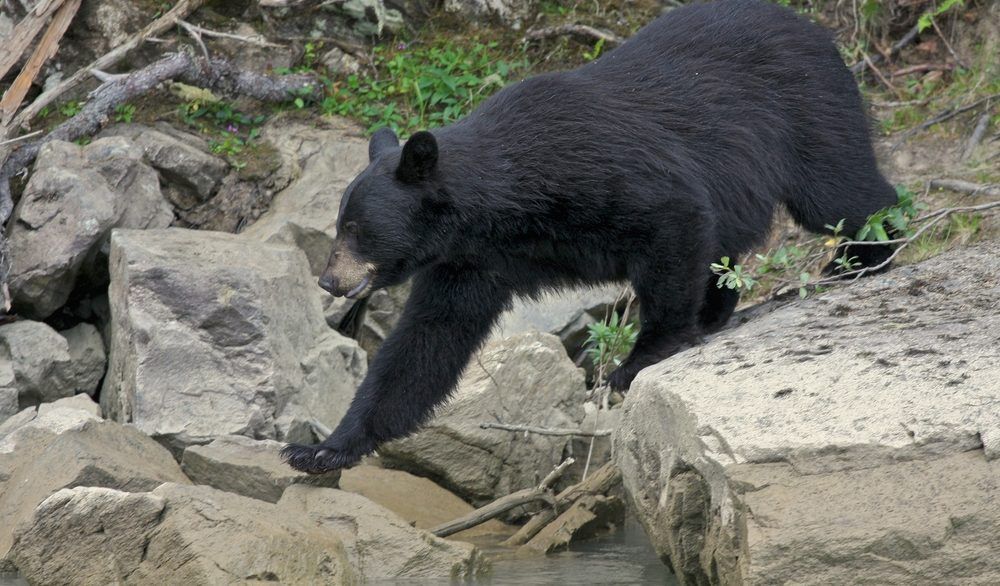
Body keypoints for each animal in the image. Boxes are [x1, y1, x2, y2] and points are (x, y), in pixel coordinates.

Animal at [282, 0, 898, 473]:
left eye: (356, 230)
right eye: (339, 225)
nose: (329, 280)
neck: (501, 205)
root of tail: (819, 32)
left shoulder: (597, 171)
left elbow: (674, 219)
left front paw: (641, 357)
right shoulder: (472, 261)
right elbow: (426, 343)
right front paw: (323, 448)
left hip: (805, 109)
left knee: (841, 191)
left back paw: (859, 256)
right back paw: (722, 307)